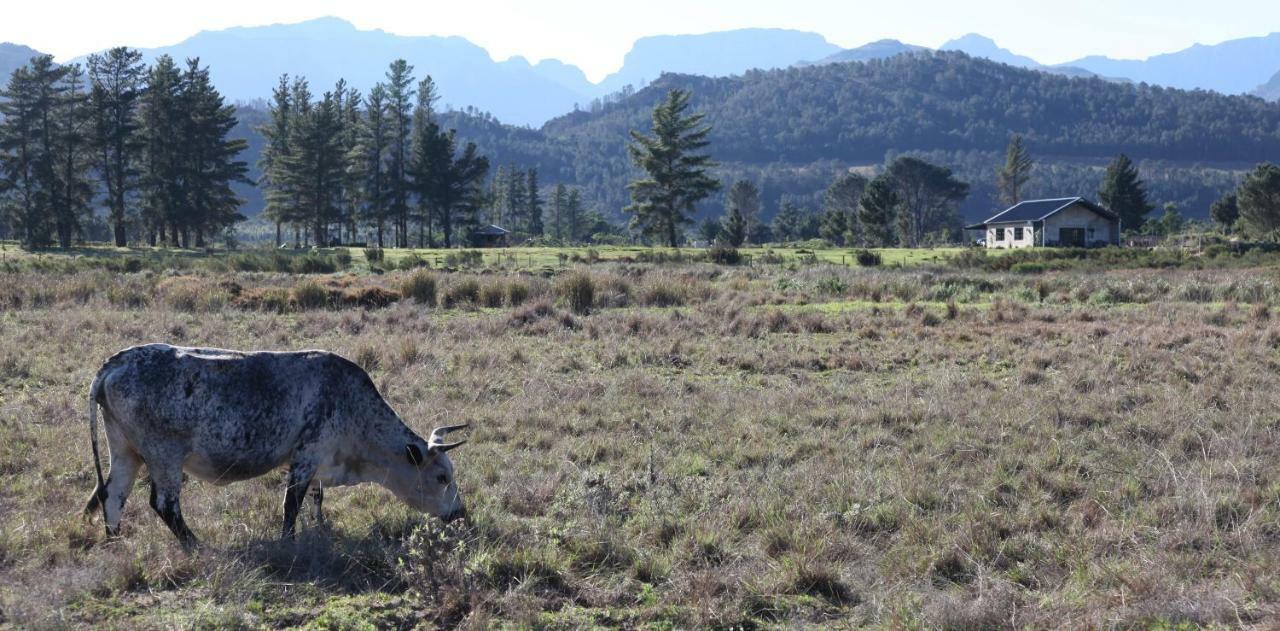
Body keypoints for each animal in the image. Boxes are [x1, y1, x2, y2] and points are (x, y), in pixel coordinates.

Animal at [82, 345, 468, 545]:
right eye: (441, 477)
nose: (460, 512)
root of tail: (117, 360)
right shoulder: (306, 457)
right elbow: (291, 505)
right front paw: (288, 542)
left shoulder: (317, 465)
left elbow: (316, 500)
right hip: (164, 457)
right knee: (164, 504)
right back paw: (195, 546)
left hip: (125, 451)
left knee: (113, 494)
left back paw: (115, 542)